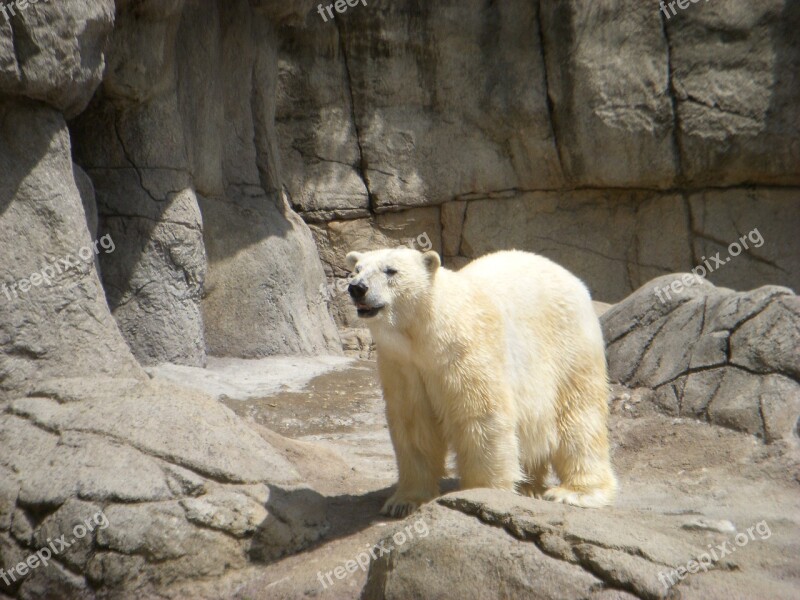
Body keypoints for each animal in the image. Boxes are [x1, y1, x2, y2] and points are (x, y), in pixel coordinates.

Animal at [346, 248, 620, 516]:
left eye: (390, 270)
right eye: (357, 269)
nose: (357, 288)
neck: (424, 332)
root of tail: (571, 278)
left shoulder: (464, 351)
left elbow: (481, 415)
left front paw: (481, 493)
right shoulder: (402, 364)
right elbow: (413, 423)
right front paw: (402, 502)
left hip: (569, 344)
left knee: (579, 415)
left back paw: (575, 493)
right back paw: (529, 485)